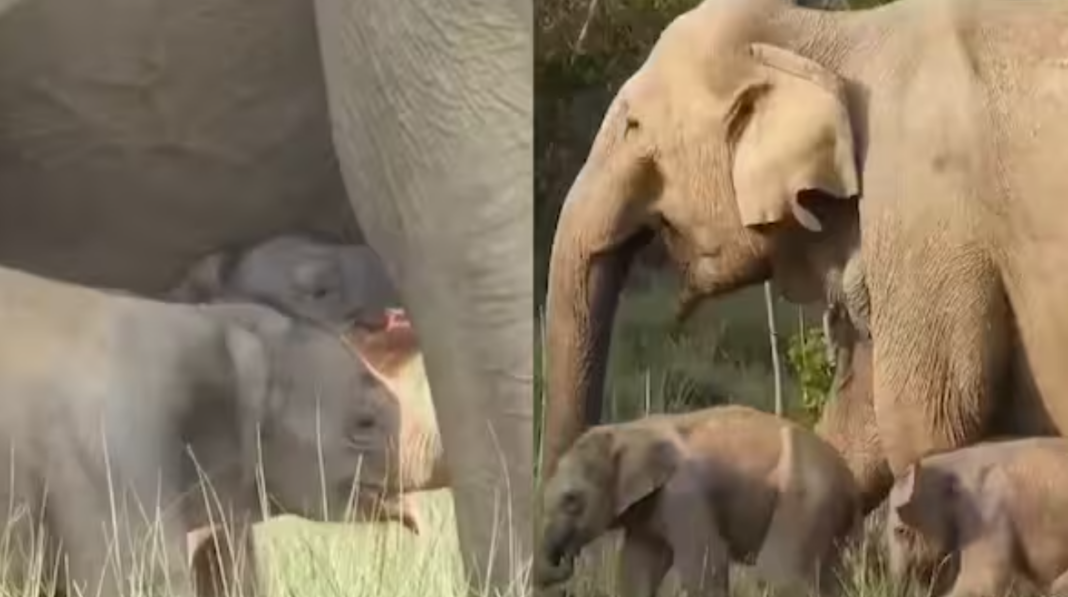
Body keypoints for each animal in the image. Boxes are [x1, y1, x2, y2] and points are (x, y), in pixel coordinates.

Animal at [534, 405, 860, 597]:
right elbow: (635, 568)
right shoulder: (649, 513)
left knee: (780, 574)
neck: (628, 430)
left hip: (808, 496)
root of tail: (850, 480)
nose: (567, 556)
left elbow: (706, 562)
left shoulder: (684, 493)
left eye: (572, 500)